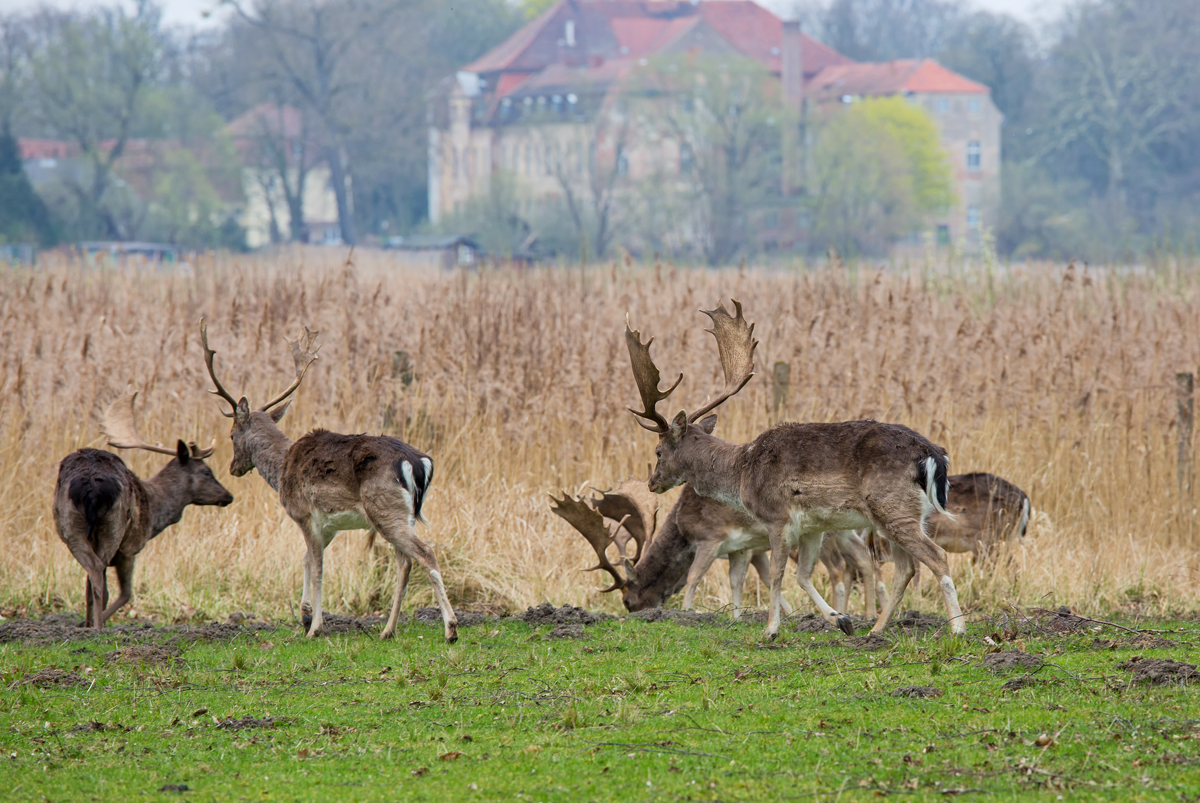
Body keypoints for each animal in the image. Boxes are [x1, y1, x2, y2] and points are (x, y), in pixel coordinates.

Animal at [52, 391, 232, 628]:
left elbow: (87, 587)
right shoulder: (130, 548)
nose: (228, 495)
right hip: (115, 525)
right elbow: (126, 593)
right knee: (99, 575)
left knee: (92, 573)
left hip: (70, 524)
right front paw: (94, 622)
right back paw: (99, 627)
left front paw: (85, 623)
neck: (153, 511)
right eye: (206, 472)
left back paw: (93, 625)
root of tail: (91, 485)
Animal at [199, 321, 456, 643]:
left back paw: (450, 629)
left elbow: (318, 566)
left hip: (385, 508)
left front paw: (315, 627)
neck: (282, 468)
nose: (234, 468)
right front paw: (305, 614)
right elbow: (306, 559)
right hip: (402, 514)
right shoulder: (329, 525)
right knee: (405, 562)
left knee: (425, 553)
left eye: (232, 435)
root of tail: (419, 462)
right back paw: (388, 630)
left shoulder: (303, 513)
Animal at [628, 300, 964, 638]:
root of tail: (933, 454)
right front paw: (840, 619)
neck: (742, 472)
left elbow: (778, 574)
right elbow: (803, 575)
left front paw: (771, 629)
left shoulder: (776, 517)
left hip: (893, 506)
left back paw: (957, 628)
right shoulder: (813, 527)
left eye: (658, 451)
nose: (652, 483)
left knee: (937, 556)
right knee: (905, 569)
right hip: (899, 515)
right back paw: (875, 630)